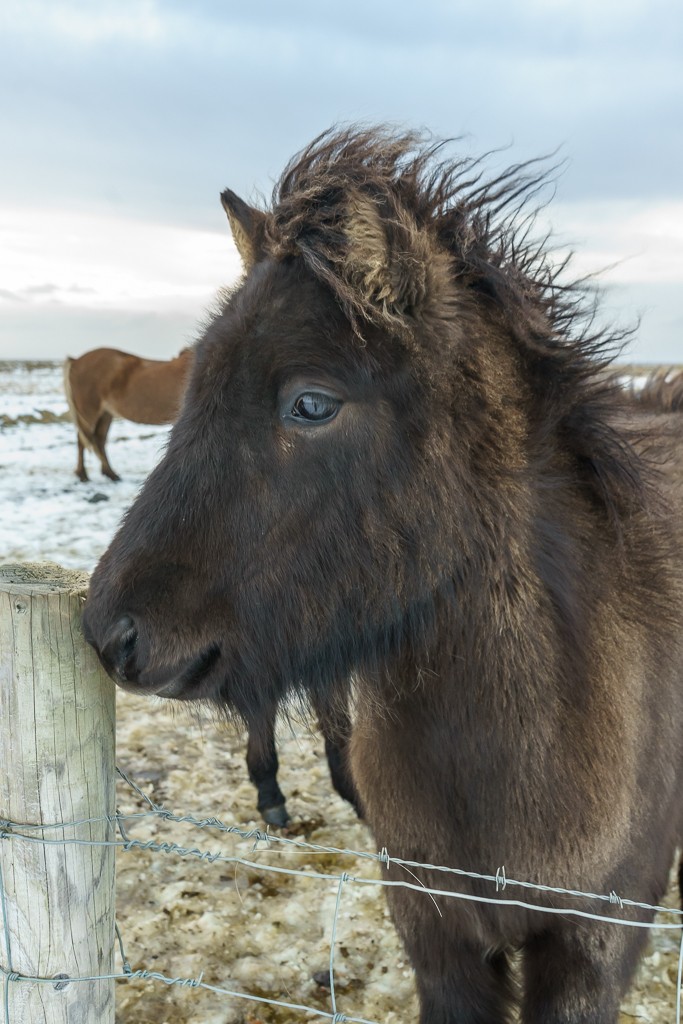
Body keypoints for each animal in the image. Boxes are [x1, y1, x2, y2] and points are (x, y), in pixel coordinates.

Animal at [63, 346, 193, 481]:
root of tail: (76, 360)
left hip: (105, 414)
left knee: (99, 440)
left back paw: (110, 474)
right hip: (89, 414)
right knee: (82, 440)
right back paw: (83, 475)